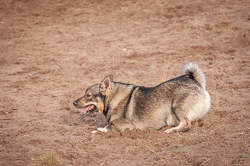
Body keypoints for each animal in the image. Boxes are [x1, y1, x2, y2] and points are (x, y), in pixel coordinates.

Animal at [73, 61, 210, 133]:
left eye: (88, 95)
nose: (74, 102)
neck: (113, 100)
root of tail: (195, 81)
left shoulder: (121, 127)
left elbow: (104, 128)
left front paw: (95, 131)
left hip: (177, 107)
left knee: (186, 124)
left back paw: (170, 130)